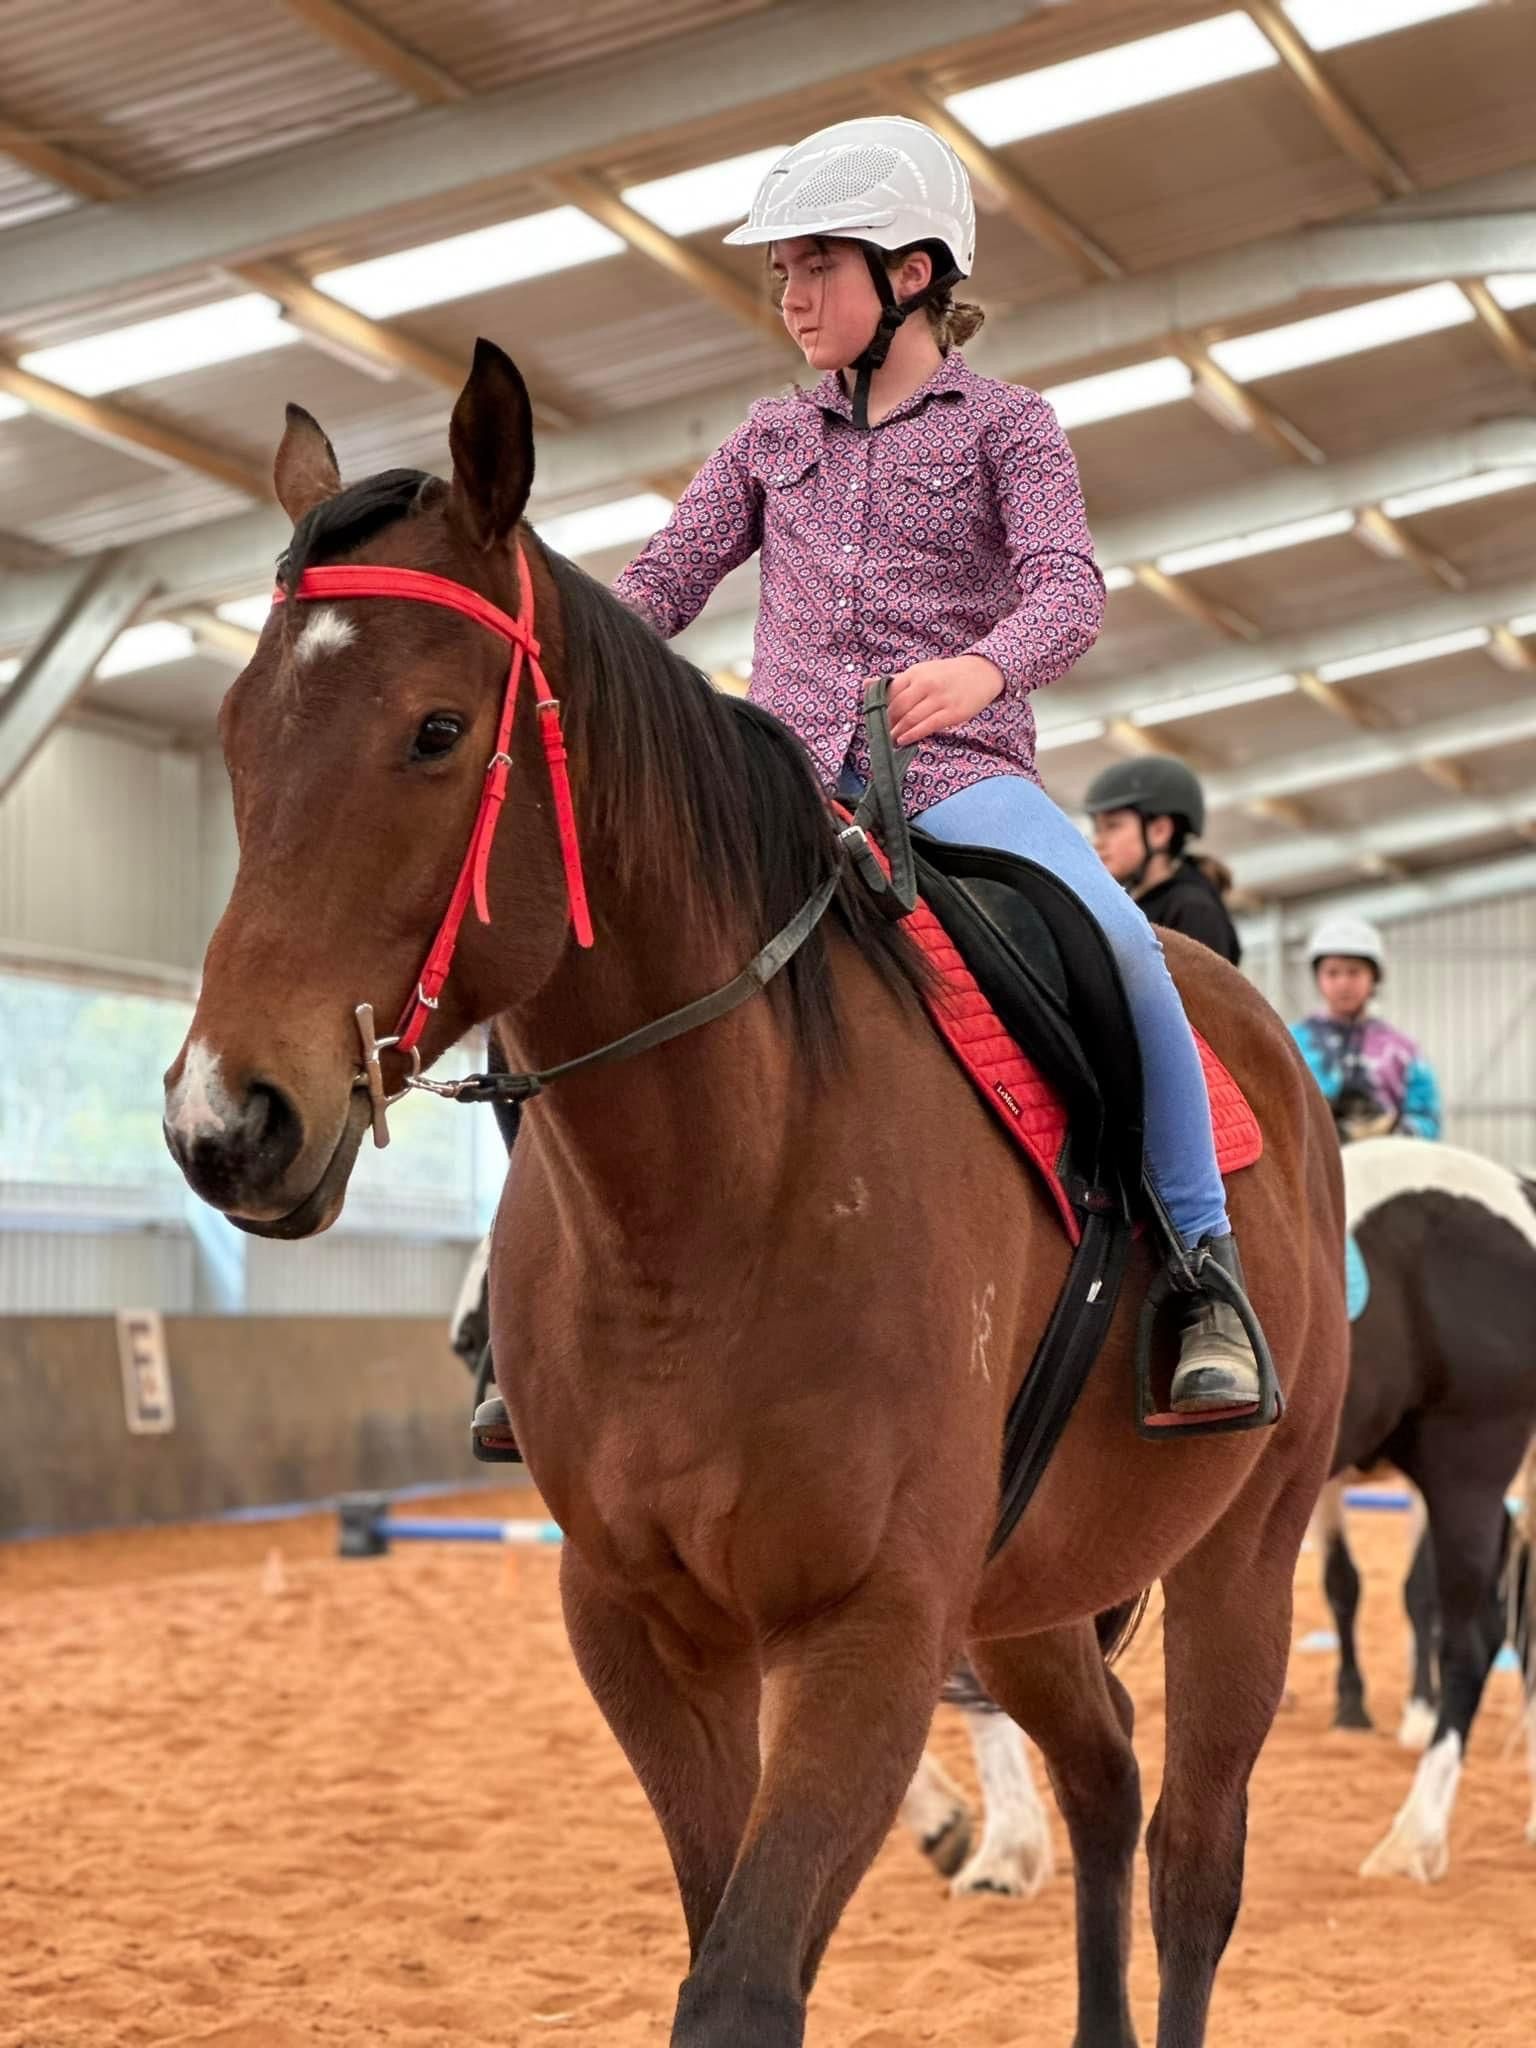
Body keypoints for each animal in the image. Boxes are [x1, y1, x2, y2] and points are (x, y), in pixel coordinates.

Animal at [162, 338, 1348, 2048]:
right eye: (242, 734)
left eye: (438, 729)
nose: (228, 1122)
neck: (714, 1206)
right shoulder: (645, 1630)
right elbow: (717, 1937)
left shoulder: (872, 1630)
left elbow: (739, 1983)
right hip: (1032, 1596)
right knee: (1107, 1778)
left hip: (1240, 1556)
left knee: (1195, 1859)